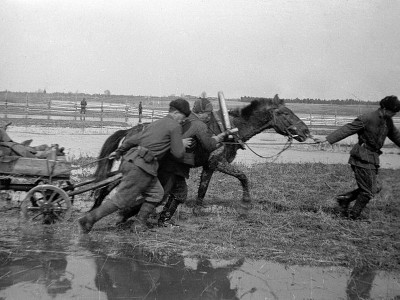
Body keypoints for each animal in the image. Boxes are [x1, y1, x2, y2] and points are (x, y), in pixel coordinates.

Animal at [90, 96, 310, 213]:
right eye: (286, 113)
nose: (306, 131)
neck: (229, 129)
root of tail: (131, 131)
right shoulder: (218, 162)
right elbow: (243, 177)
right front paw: (246, 201)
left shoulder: (209, 166)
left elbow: (203, 188)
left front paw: (197, 208)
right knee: (108, 185)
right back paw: (96, 206)